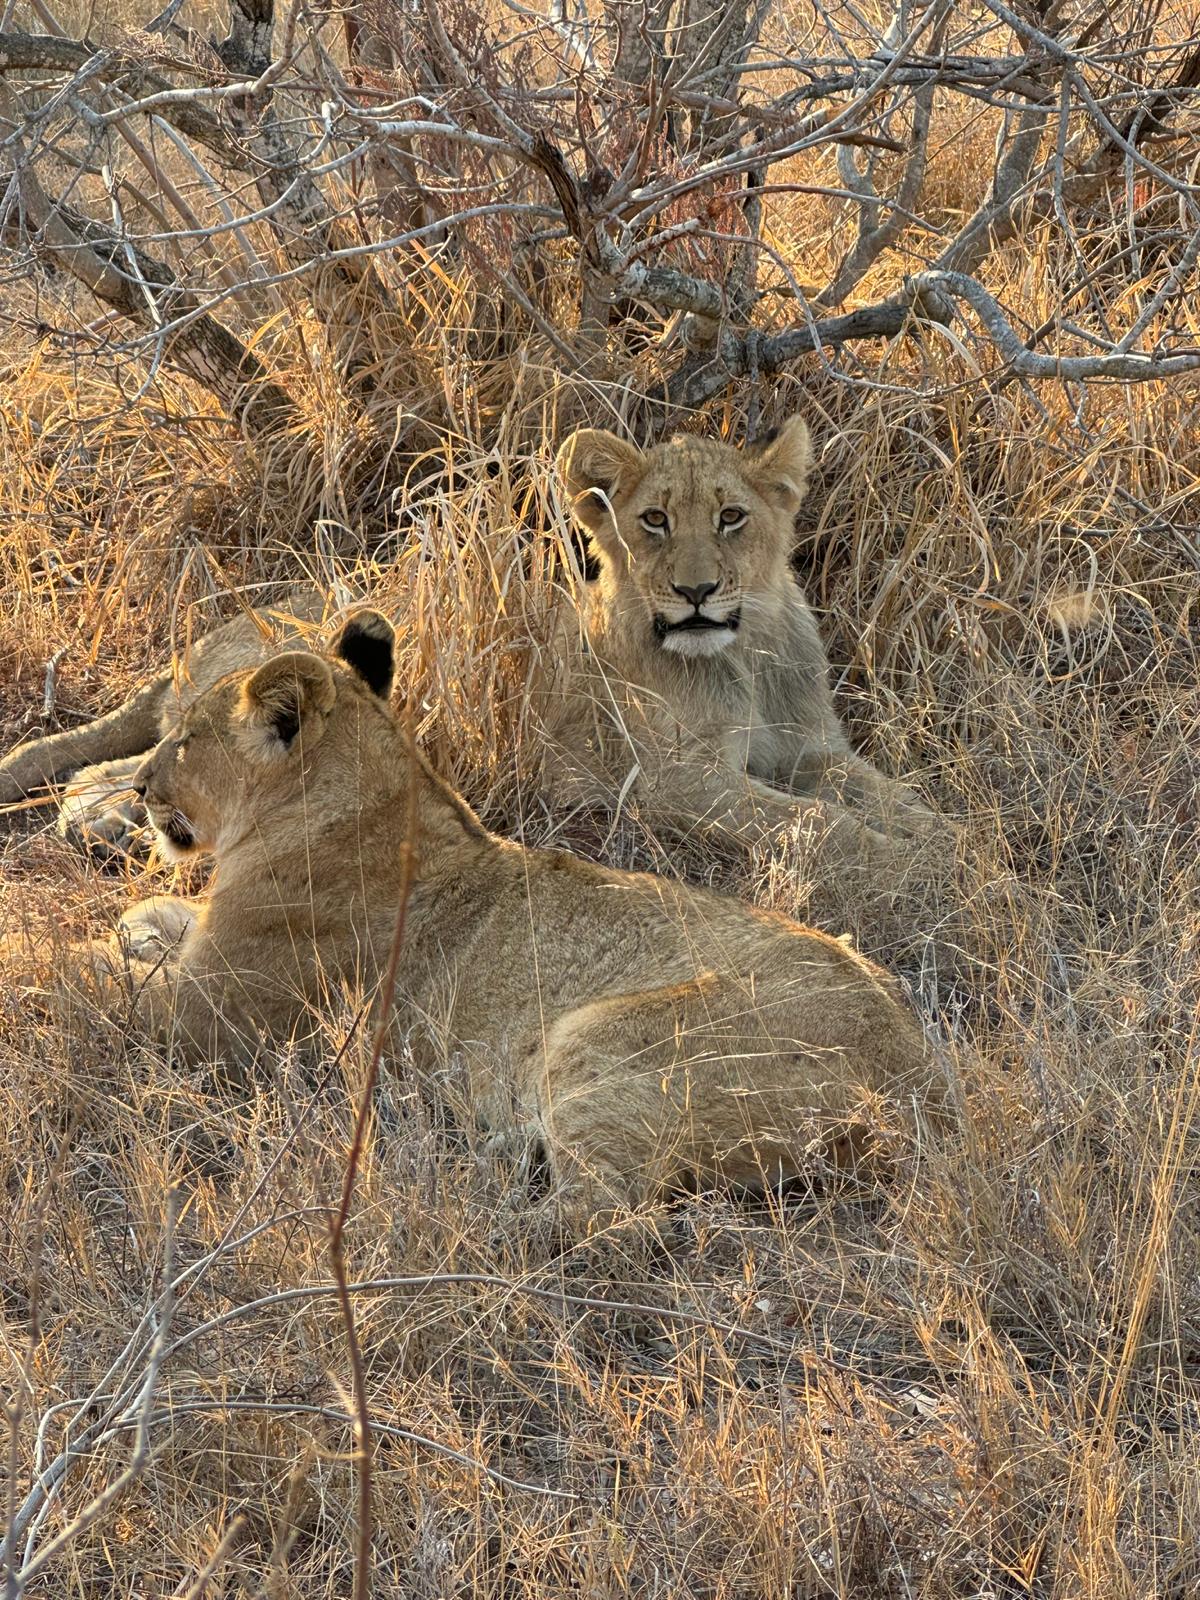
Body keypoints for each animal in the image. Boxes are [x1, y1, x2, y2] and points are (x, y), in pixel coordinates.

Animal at [37, 611, 947, 1222]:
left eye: (186, 739)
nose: (140, 785)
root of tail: (919, 1077)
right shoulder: (210, 960)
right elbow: (157, 919)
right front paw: (135, 926)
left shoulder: (210, 1018)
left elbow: (74, 972)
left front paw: (48, 952)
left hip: (596, 1036)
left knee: (605, 1223)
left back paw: (481, 1208)